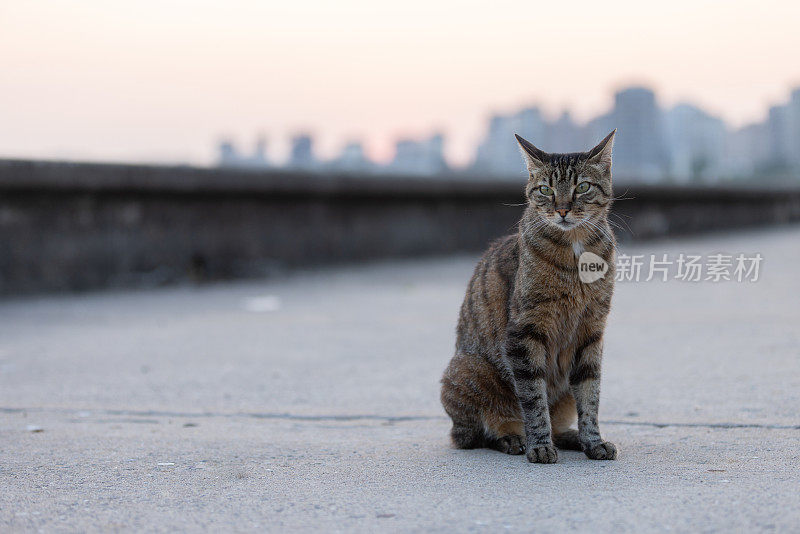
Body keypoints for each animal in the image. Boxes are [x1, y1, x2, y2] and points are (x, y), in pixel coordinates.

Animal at [438, 131, 620, 464]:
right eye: (546, 189)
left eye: (583, 187)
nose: (562, 209)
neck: (576, 250)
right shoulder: (525, 332)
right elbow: (534, 399)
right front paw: (539, 446)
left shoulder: (591, 331)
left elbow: (590, 395)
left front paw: (593, 440)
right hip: (468, 369)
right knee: (474, 435)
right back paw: (513, 438)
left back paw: (571, 437)